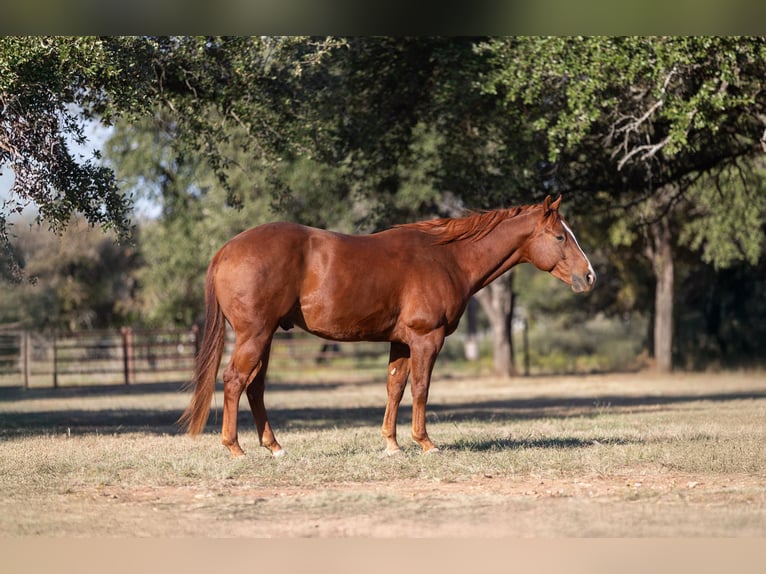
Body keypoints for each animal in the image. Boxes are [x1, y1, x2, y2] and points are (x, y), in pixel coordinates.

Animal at [182, 197, 600, 460]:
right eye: (560, 236)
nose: (590, 276)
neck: (448, 257)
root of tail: (226, 250)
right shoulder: (426, 339)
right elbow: (420, 389)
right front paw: (425, 443)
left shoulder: (401, 343)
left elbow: (395, 387)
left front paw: (392, 445)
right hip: (255, 336)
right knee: (235, 380)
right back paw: (235, 448)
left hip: (265, 337)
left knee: (255, 387)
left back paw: (274, 446)